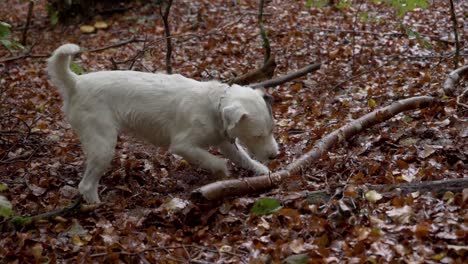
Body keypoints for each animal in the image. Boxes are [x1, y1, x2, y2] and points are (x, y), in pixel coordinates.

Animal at [47, 44, 278, 203]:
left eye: (271, 131)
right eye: (257, 135)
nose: (275, 156)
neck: (214, 106)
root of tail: (76, 83)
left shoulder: (225, 143)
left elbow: (244, 158)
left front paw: (260, 170)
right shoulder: (183, 146)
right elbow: (213, 160)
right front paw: (222, 173)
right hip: (103, 145)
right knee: (85, 185)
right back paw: (97, 206)